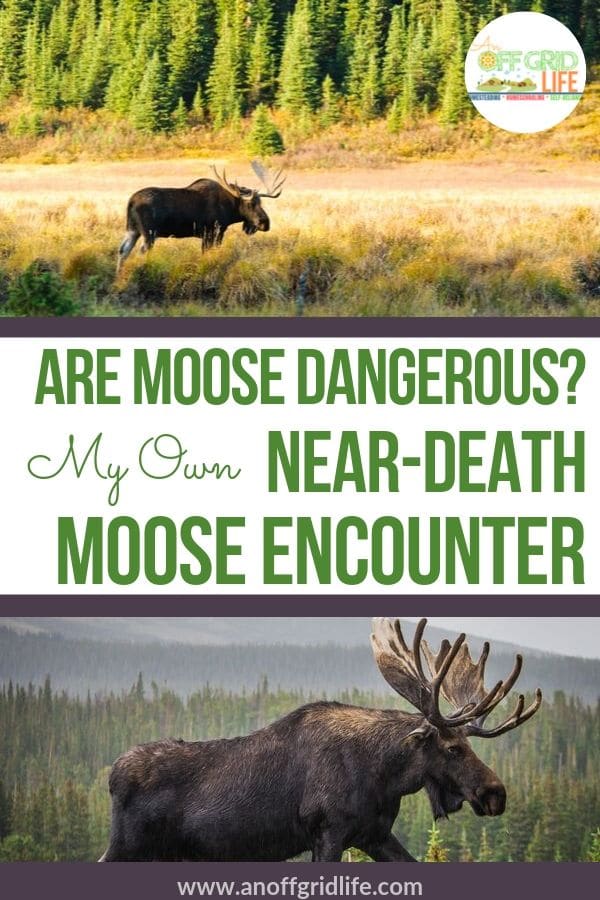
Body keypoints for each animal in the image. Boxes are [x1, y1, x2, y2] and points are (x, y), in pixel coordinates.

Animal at [100, 618, 542, 861]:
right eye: (452, 748)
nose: (496, 793)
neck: (384, 776)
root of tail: (112, 776)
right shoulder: (327, 832)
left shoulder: (374, 835)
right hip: (129, 845)